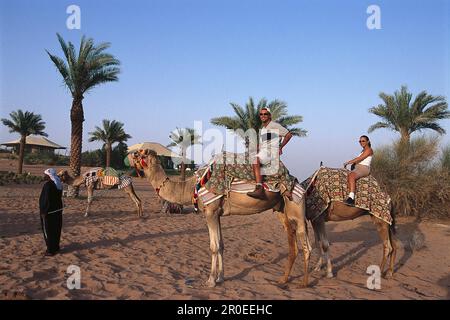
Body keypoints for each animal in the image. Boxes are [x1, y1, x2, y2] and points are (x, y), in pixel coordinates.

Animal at [131, 150, 312, 288]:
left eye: (142, 154)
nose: (131, 154)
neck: (192, 187)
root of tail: (298, 182)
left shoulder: (210, 211)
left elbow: (214, 246)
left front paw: (210, 280)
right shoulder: (217, 213)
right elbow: (222, 245)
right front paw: (220, 277)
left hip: (296, 207)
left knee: (306, 246)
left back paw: (303, 283)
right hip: (282, 210)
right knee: (293, 245)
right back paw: (283, 279)